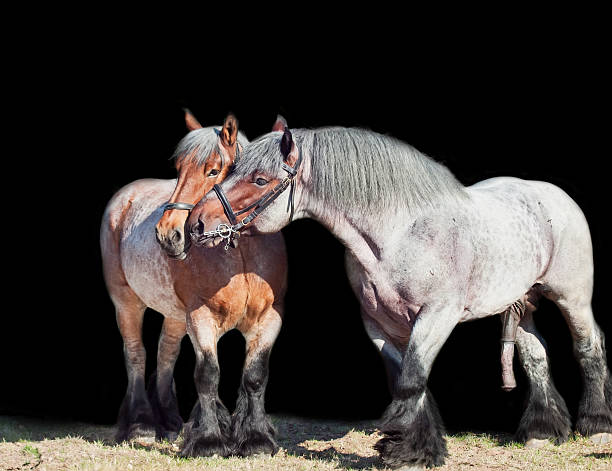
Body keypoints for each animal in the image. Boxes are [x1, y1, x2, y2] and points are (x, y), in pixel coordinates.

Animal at [101, 110, 288, 458]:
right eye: (179, 170)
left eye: (213, 170)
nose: (169, 233)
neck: (241, 258)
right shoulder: (201, 317)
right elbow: (207, 375)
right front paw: (209, 441)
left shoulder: (269, 318)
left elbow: (255, 376)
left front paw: (255, 439)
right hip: (126, 302)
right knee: (136, 354)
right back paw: (141, 425)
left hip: (175, 314)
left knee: (166, 353)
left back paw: (171, 420)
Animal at [188, 123, 612, 470]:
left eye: (260, 179)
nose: (196, 223)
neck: (399, 232)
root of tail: (553, 195)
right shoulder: (380, 323)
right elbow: (403, 379)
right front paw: (421, 447)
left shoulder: (437, 316)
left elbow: (412, 379)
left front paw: (403, 451)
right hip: (521, 304)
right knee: (536, 355)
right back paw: (542, 431)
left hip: (572, 298)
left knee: (588, 346)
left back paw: (596, 426)